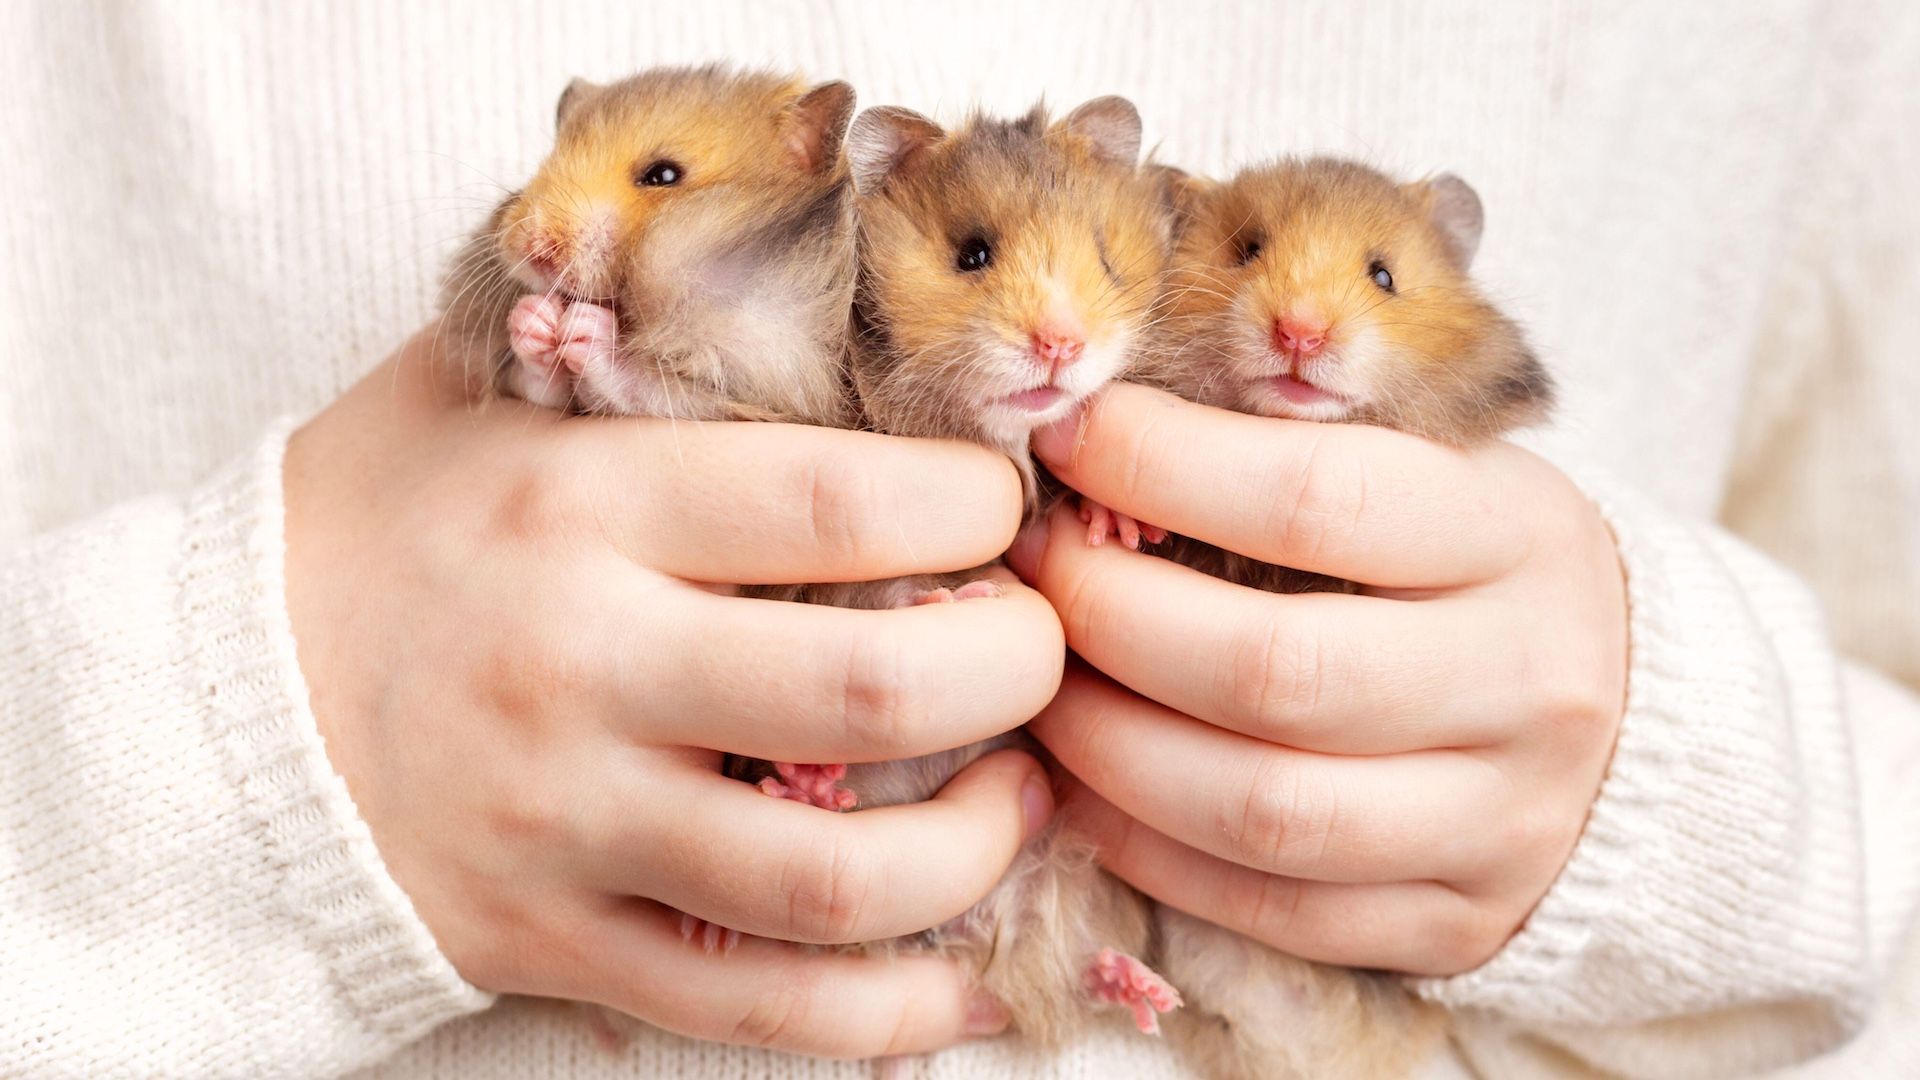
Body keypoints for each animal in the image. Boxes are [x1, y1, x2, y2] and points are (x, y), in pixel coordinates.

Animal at [438, 64, 858, 426]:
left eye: (664, 175)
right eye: (544, 163)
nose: (533, 248)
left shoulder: (778, 388)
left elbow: (649, 389)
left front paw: (582, 326)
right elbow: (540, 387)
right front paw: (533, 317)